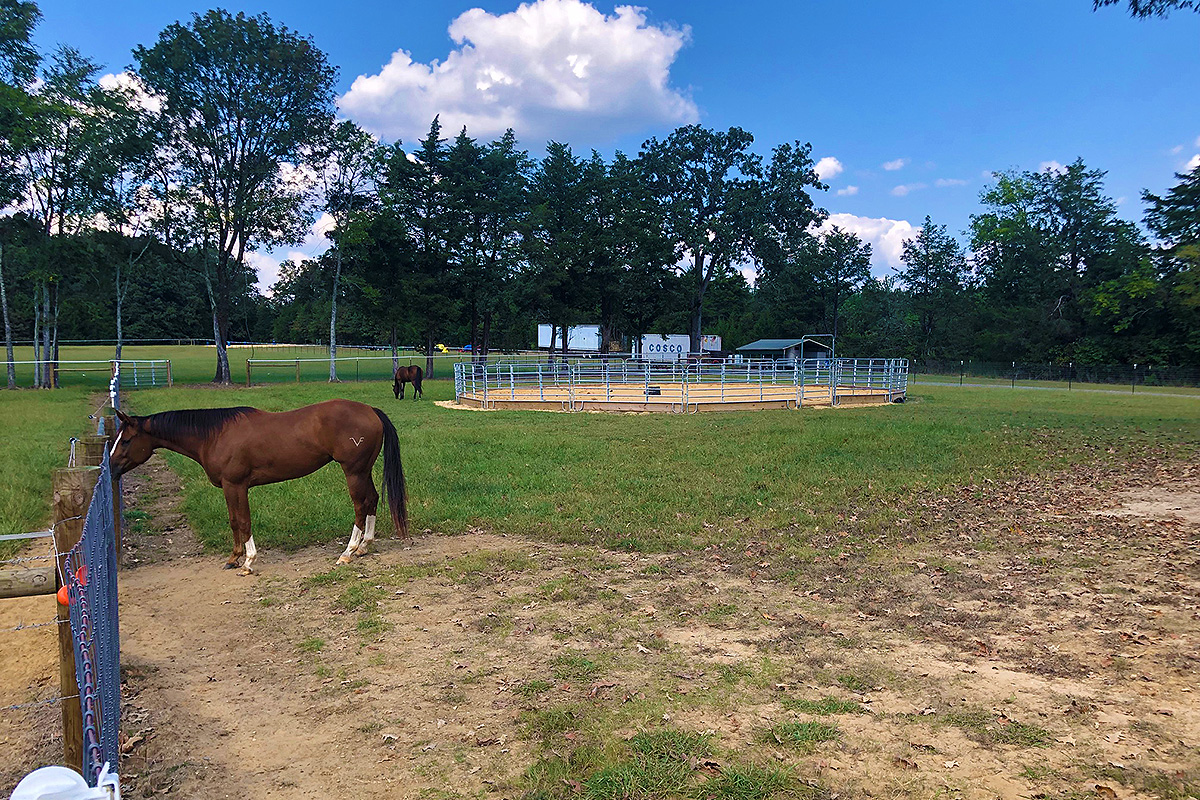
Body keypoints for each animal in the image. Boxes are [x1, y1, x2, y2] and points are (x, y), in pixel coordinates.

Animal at [109, 400, 408, 575]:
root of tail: (371, 411)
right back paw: (364, 546)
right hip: (363, 471)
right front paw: (233, 558)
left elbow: (243, 520)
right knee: (372, 500)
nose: (109, 467)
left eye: (126, 440)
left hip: (353, 472)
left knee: (360, 505)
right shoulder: (229, 488)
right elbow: (233, 521)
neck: (214, 435)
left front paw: (249, 562)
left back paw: (348, 553)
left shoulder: (236, 485)